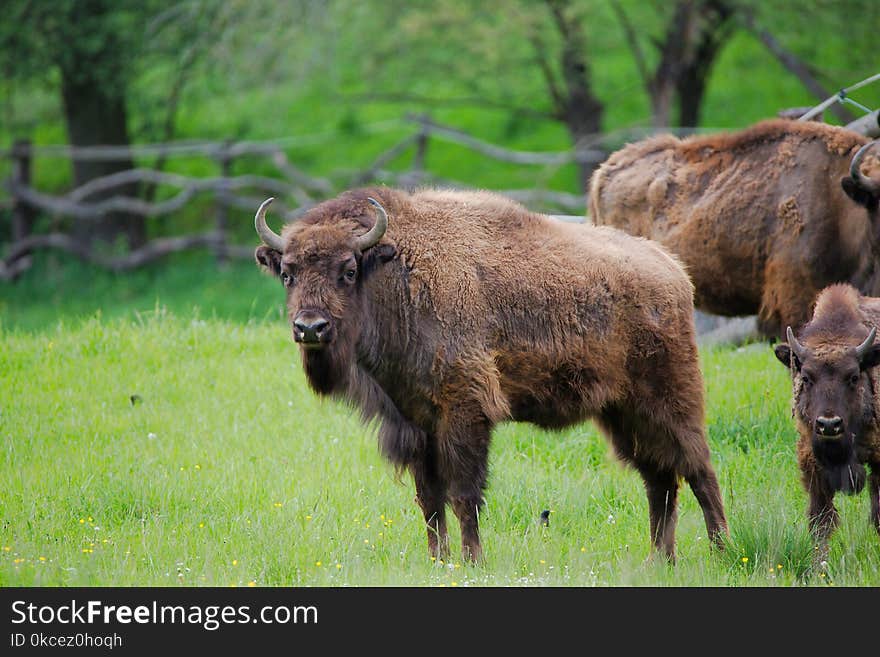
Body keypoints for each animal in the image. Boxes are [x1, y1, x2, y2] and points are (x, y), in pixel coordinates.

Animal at [253, 186, 728, 560]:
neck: (395, 271)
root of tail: (671, 270)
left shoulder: (465, 411)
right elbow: (429, 500)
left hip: (671, 397)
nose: (310, 328)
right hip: (622, 412)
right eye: (287, 273)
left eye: (348, 270)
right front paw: (439, 561)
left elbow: (464, 493)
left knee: (698, 469)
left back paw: (720, 552)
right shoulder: (415, 422)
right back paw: (659, 561)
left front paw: (472, 561)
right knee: (659, 479)